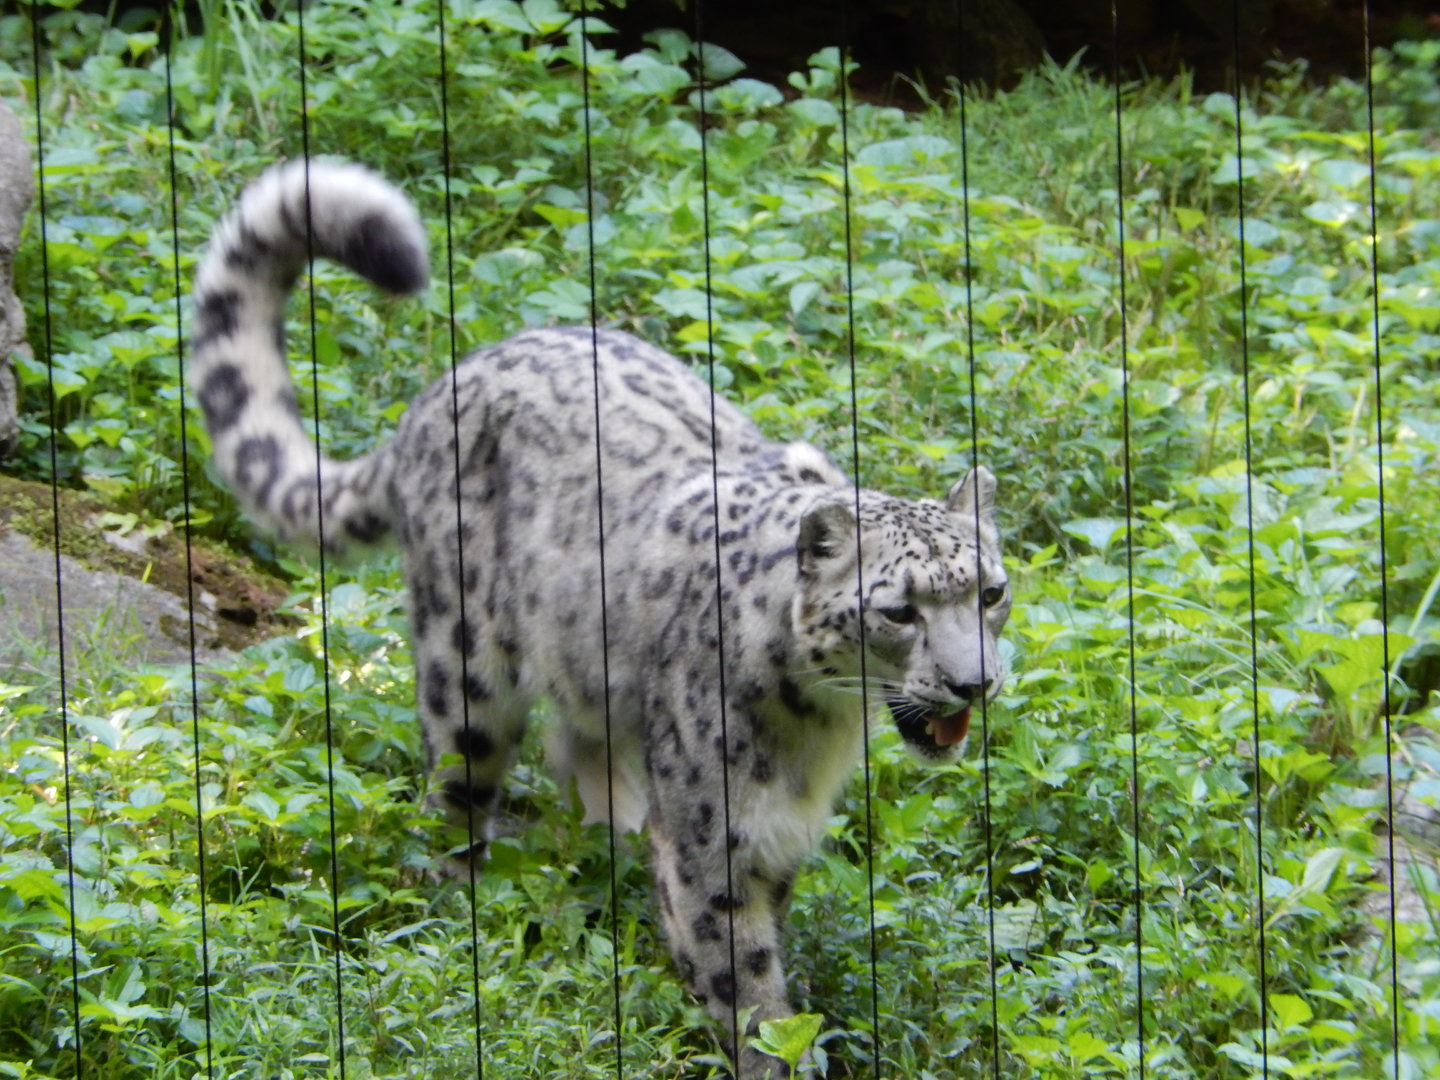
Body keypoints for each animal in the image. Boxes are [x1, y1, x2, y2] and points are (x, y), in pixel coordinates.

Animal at [191, 158, 1012, 1077]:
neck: (819, 734)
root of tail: (437, 392)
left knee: (580, 751)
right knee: (453, 794)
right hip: (463, 666)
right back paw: (461, 908)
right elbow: (743, 974)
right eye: (900, 611)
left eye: (989, 592)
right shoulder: (716, 836)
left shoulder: (776, 835)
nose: (973, 684)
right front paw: (777, 1052)